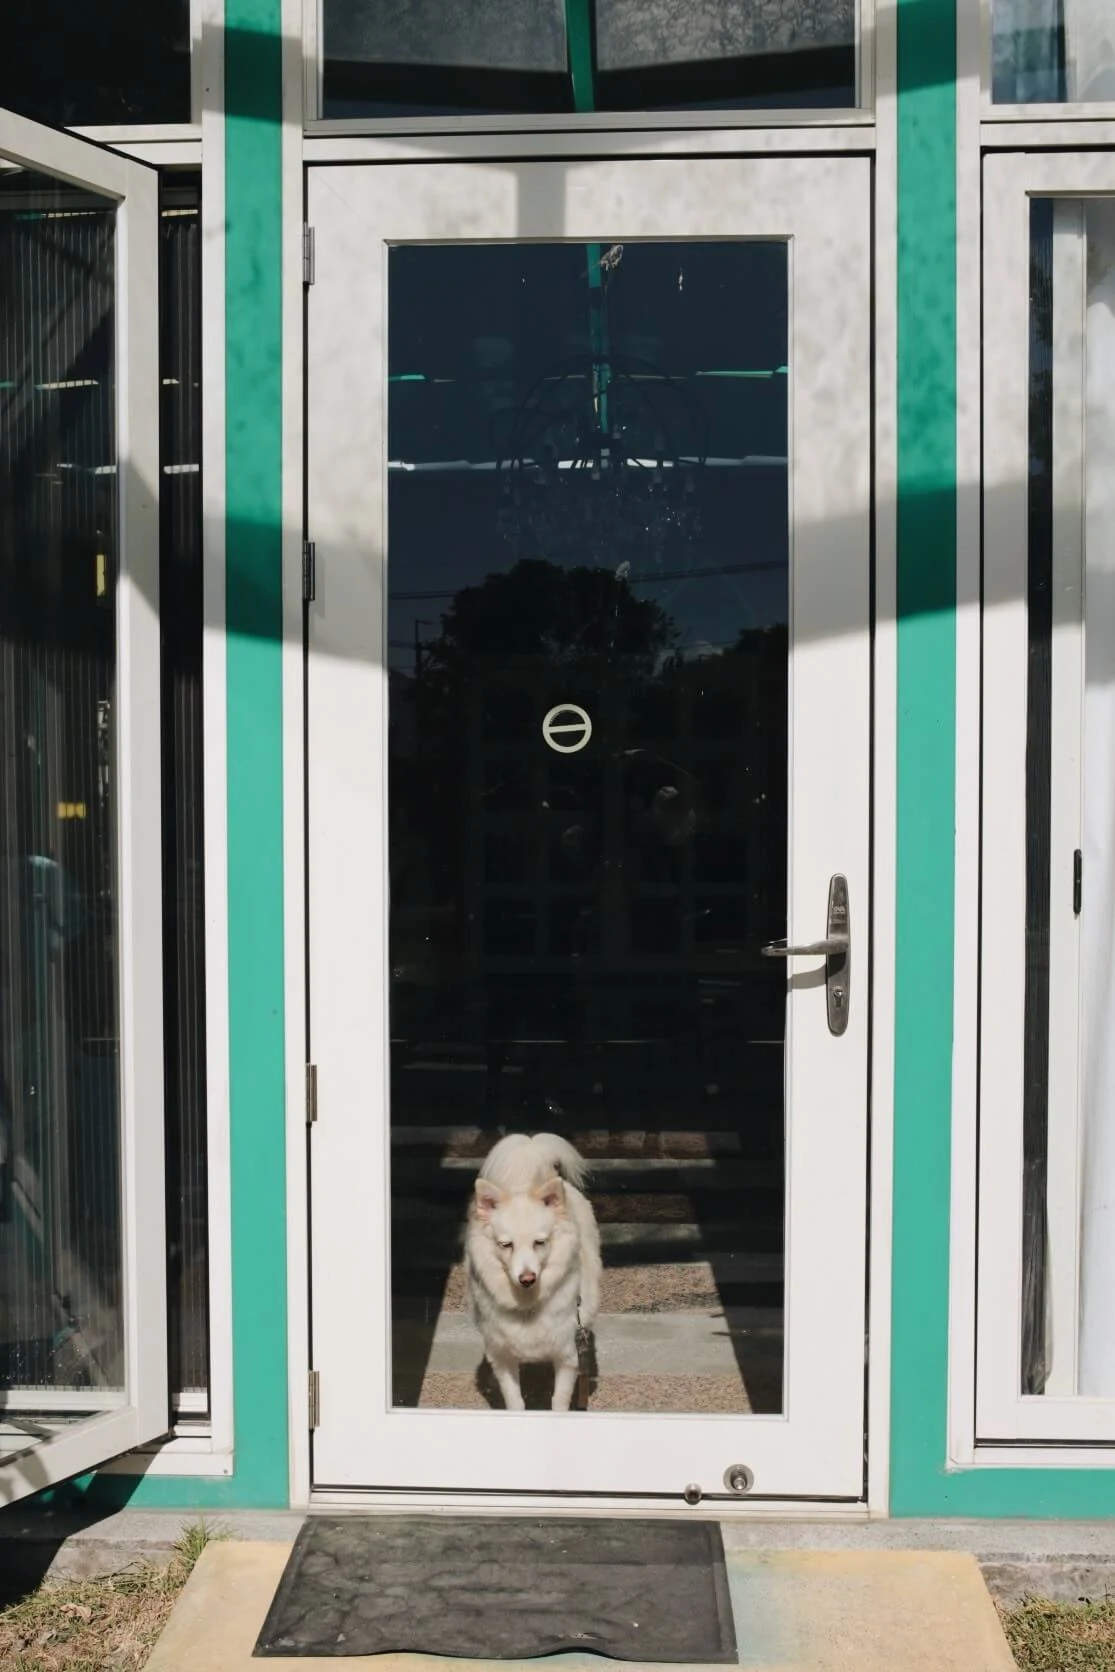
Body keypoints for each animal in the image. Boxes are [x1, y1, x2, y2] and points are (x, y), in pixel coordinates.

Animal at [461, 1136, 601, 1411]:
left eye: (540, 1243)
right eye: (506, 1245)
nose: (527, 1279)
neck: (526, 1305)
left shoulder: (567, 1354)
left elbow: (559, 1399)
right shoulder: (501, 1357)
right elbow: (514, 1399)